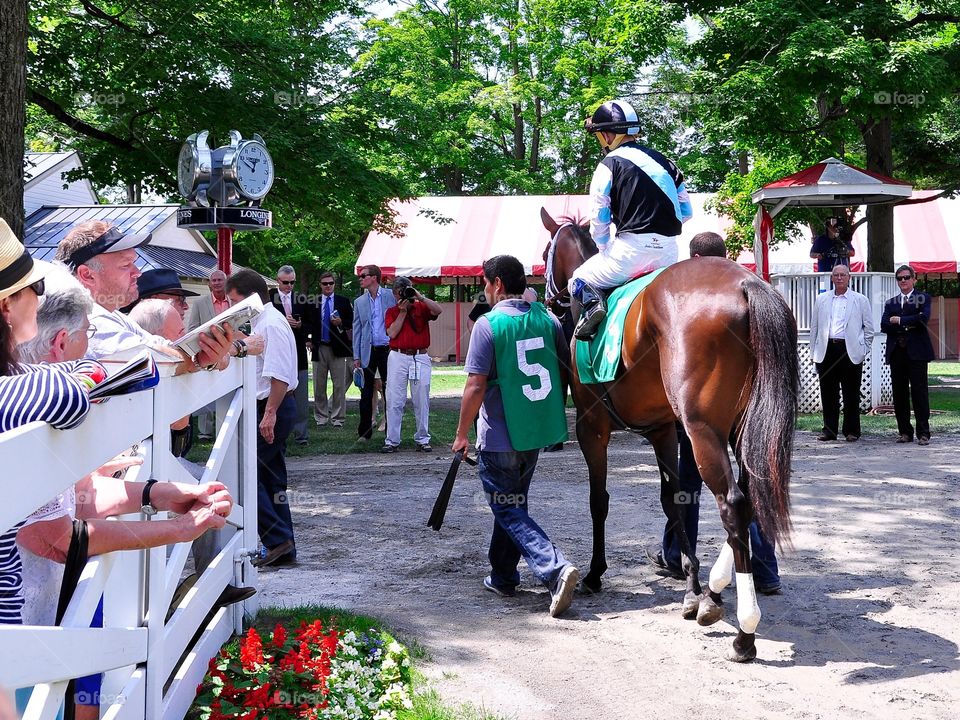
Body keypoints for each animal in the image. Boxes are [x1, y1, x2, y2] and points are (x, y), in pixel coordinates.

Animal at [540, 205, 804, 660]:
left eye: (544, 253)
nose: (542, 294)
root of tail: (747, 283)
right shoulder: (663, 429)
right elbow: (675, 500)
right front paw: (693, 587)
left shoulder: (593, 427)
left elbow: (599, 501)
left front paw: (594, 573)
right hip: (742, 427)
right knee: (752, 495)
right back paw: (716, 591)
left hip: (702, 430)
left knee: (734, 503)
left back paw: (745, 632)